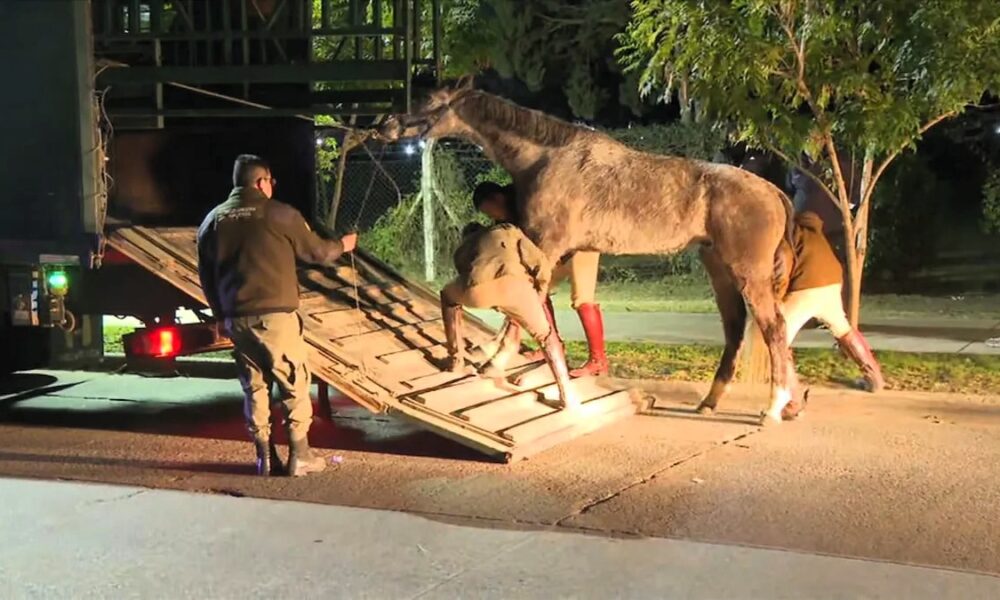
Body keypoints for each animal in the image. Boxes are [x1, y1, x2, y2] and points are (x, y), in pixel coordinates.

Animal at [378, 80, 798, 423]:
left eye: (428, 100)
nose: (385, 124)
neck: (545, 158)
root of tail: (774, 193)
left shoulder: (544, 247)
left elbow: (522, 311)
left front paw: (495, 363)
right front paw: (496, 356)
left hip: (747, 272)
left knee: (774, 327)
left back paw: (773, 409)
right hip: (719, 268)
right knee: (738, 328)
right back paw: (725, 402)